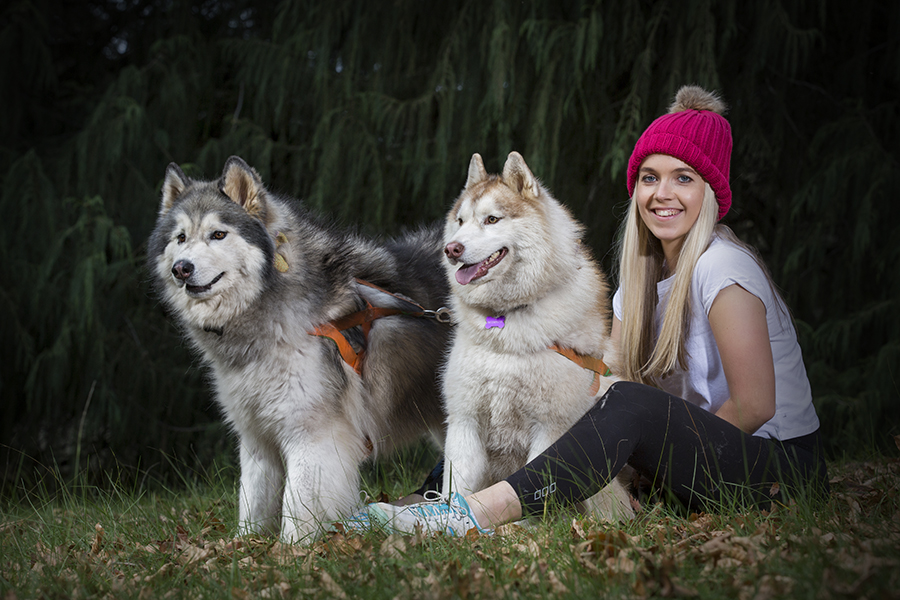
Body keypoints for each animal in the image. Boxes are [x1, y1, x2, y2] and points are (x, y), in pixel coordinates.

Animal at [148, 156, 450, 543]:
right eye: (181, 238)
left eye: (218, 234)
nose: (181, 268)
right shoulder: (256, 439)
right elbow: (253, 502)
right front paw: (243, 547)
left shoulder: (313, 436)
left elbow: (297, 506)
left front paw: (291, 550)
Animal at [439, 151, 633, 520]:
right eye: (460, 221)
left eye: (492, 219)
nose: (451, 249)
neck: (505, 322)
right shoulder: (465, 421)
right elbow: (455, 489)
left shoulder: (550, 428)